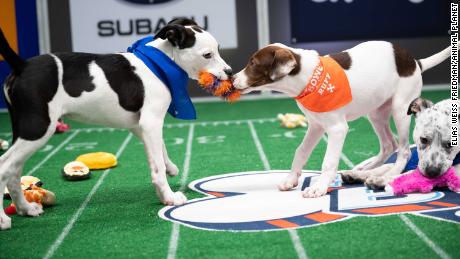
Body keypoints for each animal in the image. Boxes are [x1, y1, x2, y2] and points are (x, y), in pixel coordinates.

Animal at [0, 18, 232, 232]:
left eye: (218, 49)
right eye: (207, 55)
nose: (229, 72)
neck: (160, 64)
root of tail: (22, 65)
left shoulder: (140, 126)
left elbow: (160, 150)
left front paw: (170, 168)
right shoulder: (150, 121)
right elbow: (156, 168)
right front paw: (168, 197)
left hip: (24, 130)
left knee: (13, 171)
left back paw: (25, 208)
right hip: (38, 128)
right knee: (5, 166)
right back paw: (3, 220)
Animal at [234, 41, 450, 198]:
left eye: (253, 63)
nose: (232, 78)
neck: (308, 78)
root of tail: (415, 62)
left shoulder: (337, 129)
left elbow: (328, 161)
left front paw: (320, 187)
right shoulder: (316, 125)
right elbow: (301, 151)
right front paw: (291, 179)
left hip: (400, 109)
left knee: (403, 151)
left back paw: (388, 175)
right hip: (376, 112)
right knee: (389, 145)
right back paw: (364, 170)